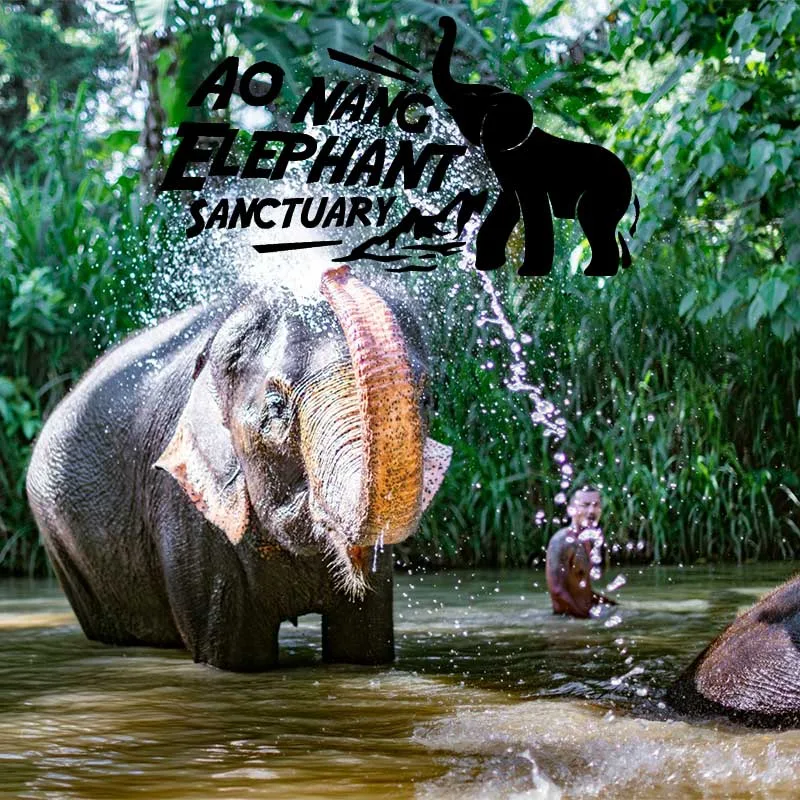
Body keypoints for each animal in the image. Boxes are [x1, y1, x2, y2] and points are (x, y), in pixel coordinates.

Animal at [26, 265, 452, 671]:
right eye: (276, 408)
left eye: (426, 399)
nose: (336, 271)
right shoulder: (186, 514)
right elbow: (236, 658)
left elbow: (362, 647)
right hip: (62, 543)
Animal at [432, 16, 639, 277]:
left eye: (473, 99)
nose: (443, 21)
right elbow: (509, 206)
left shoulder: (530, 175)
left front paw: (527, 270)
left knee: (591, 220)